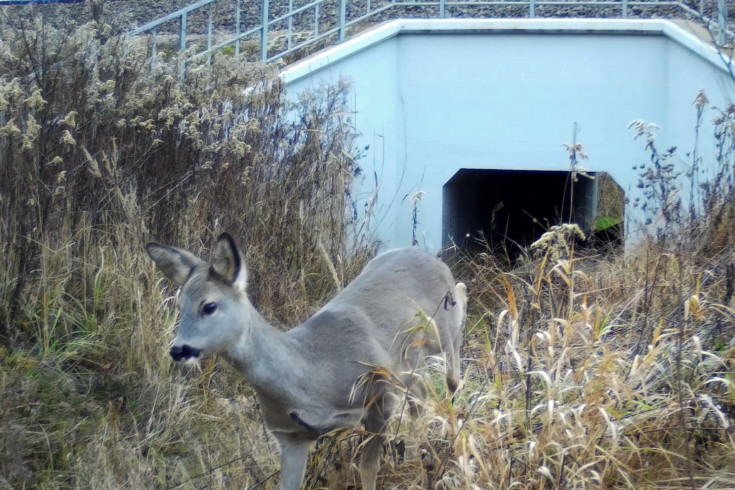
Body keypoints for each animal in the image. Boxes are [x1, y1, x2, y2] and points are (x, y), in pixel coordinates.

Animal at [147, 234, 468, 490]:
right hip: (411, 365)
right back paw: (417, 455)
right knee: (420, 398)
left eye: (209, 306)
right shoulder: (290, 436)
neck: (311, 376)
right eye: (179, 306)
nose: (178, 349)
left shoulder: (380, 399)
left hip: (441, 332)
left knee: (454, 350)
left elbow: (368, 470)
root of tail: (432, 259)